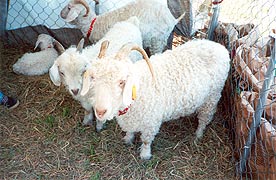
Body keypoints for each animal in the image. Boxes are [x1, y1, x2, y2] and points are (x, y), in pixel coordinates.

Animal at [80, 39, 231, 159]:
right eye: (92, 78)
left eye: (122, 81)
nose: (100, 111)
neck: (138, 89)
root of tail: (220, 47)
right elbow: (130, 131)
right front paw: (127, 139)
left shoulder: (151, 122)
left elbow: (146, 141)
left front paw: (145, 155)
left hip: (212, 96)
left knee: (205, 118)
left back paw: (198, 135)